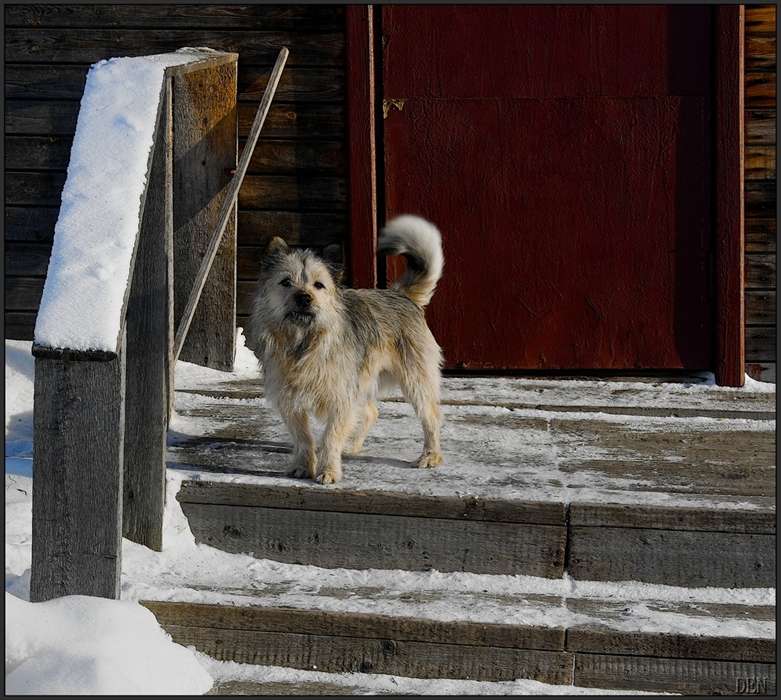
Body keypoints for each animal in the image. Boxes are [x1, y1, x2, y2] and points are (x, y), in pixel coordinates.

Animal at [247, 216, 442, 484]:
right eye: (286, 282)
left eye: (319, 285)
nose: (304, 298)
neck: (304, 342)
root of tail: (401, 295)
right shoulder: (290, 401)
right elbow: (303, 437)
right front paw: (303, 465)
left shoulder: (340, 399)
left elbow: (330, 437)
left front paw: (328, 470)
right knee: (370, 412)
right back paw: (352, 446)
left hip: (416, 381)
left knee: (430, 417)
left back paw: (431, 455)